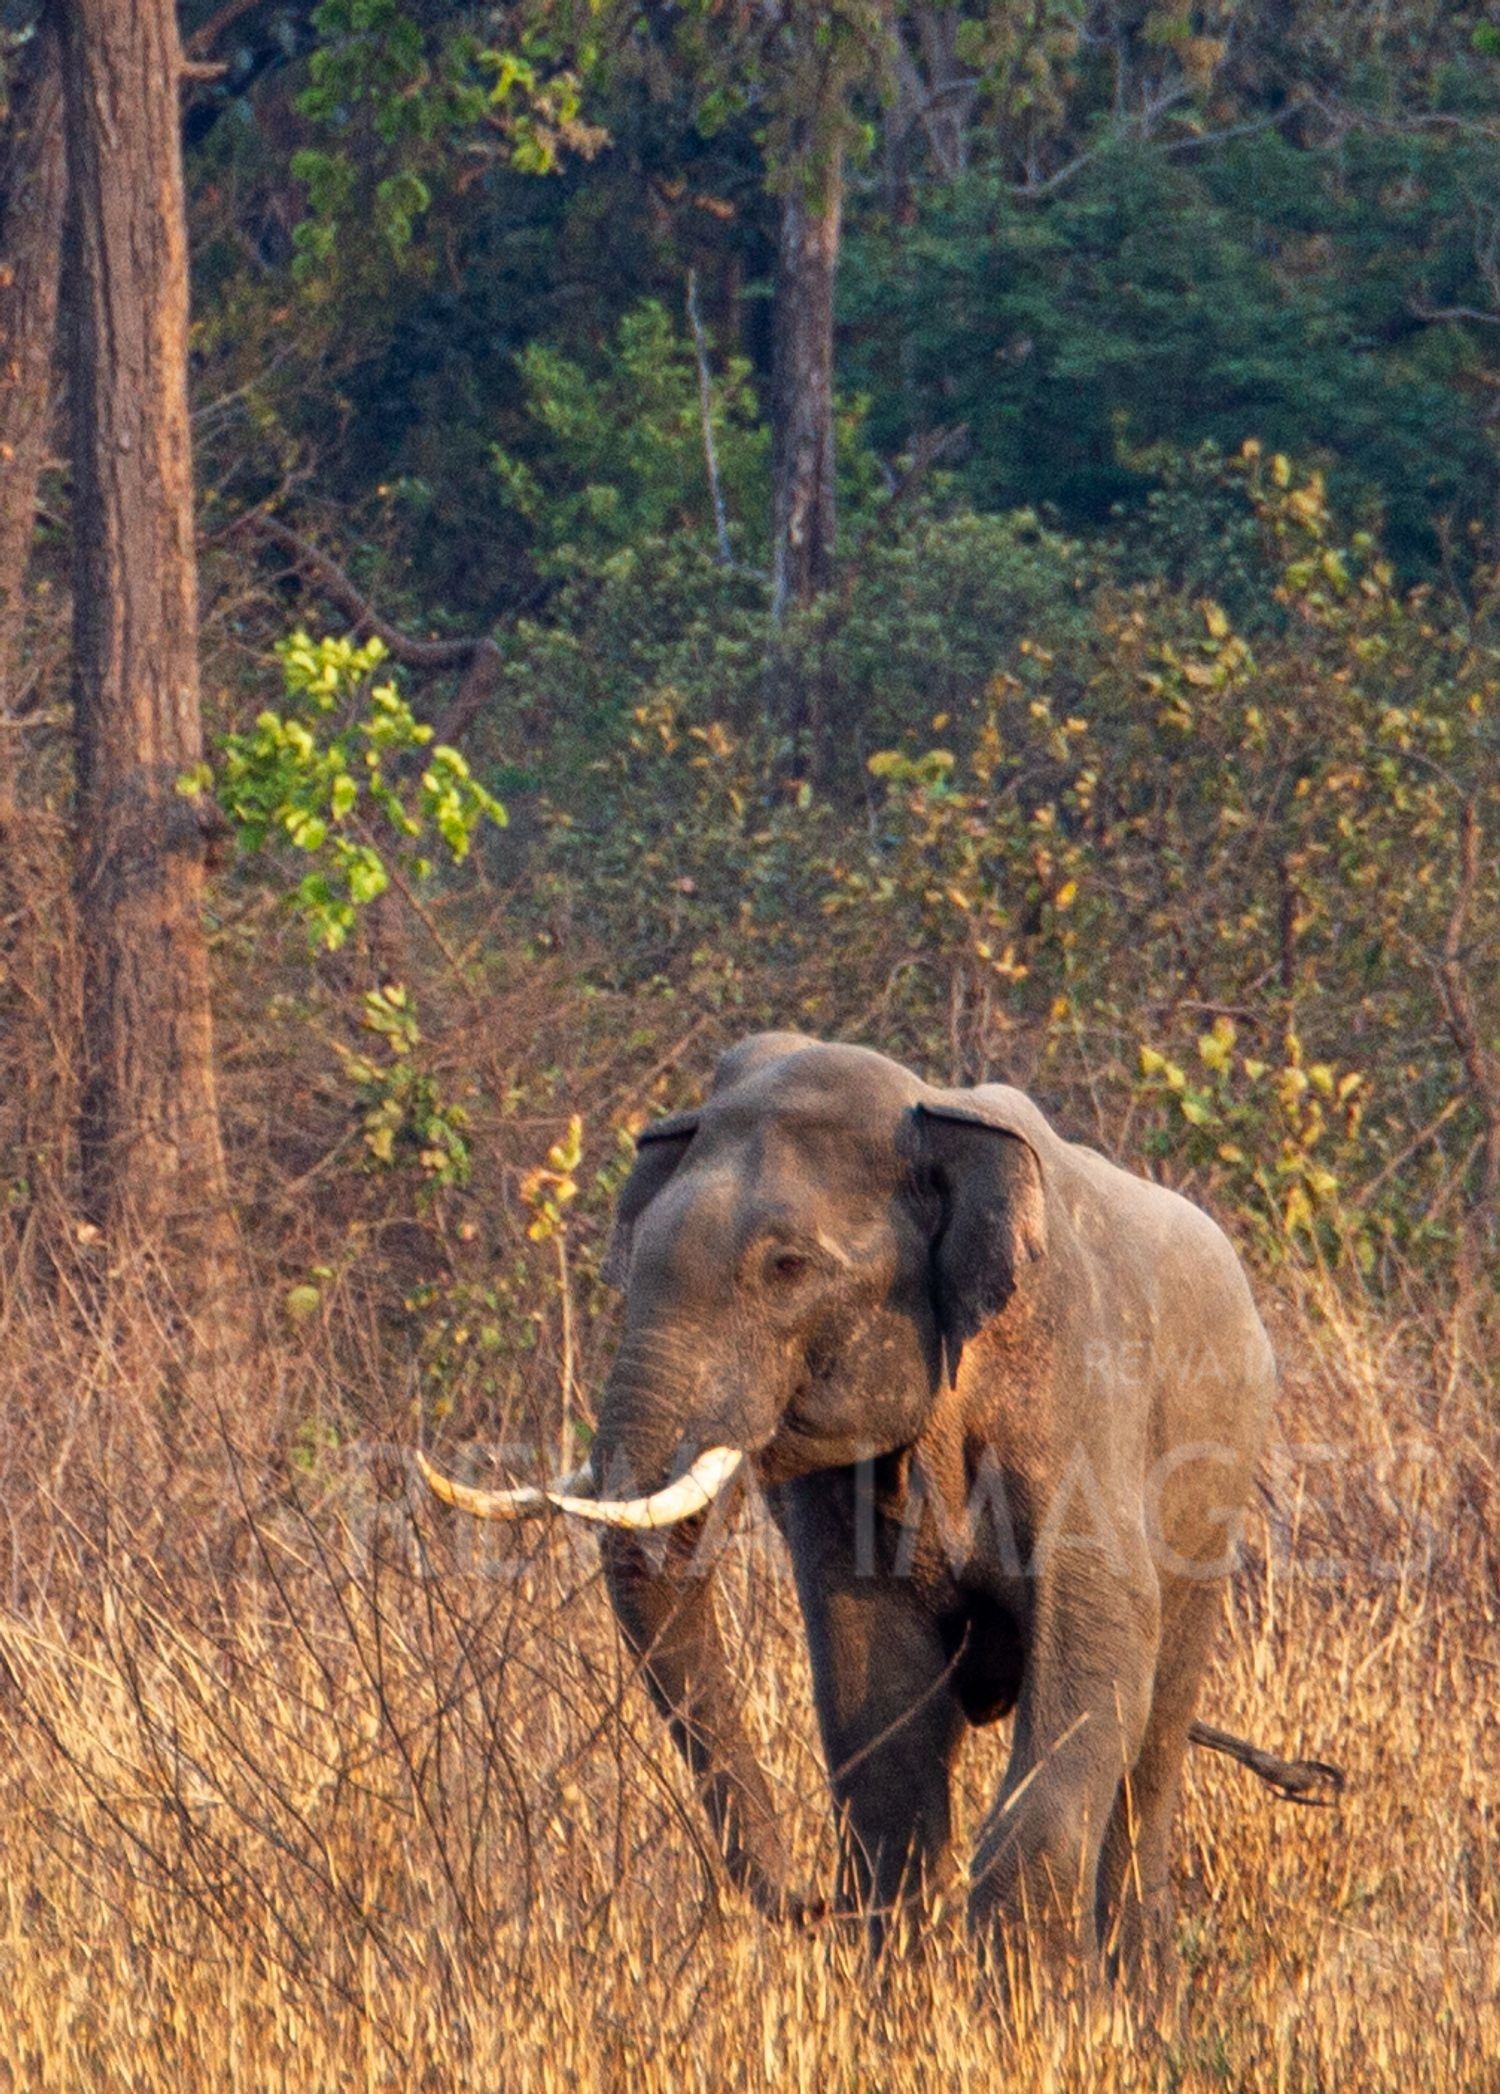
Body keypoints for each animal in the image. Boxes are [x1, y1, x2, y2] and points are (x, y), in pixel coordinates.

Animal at [419, 1033, 1278, 1970]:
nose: (808, 1903)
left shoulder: (1079, 1389)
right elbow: (879, 1704)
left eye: (788, 1268)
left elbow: (1098, 1661)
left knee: (1153, 1745)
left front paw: (1025, 1989)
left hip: (1212, 1497)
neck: (927, 1118)